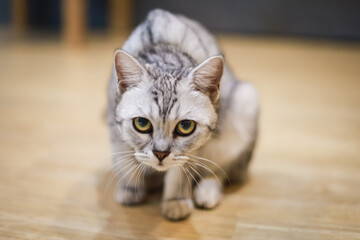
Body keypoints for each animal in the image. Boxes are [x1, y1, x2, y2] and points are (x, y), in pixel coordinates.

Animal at [107, 7, 258, 221]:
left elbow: (179, 173)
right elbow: (124, 160)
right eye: (142, 123)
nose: (161, 154)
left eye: (185, 126)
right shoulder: (114, 126)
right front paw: (130, 188)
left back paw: (207, 192)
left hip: (244, 106)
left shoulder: (192, 151)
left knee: (220, 171)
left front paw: (175, 202)